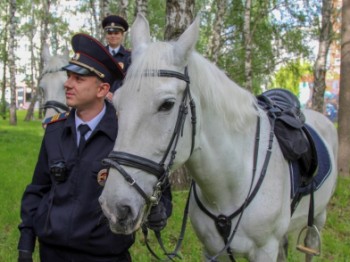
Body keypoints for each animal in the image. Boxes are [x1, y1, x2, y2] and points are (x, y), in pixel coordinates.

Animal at [98, 14, 336, 262]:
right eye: (117, 104)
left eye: (167, 104)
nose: (114, 208)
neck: (232, 183)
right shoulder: (212, 249)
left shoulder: (265, 250)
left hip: (317, 219)